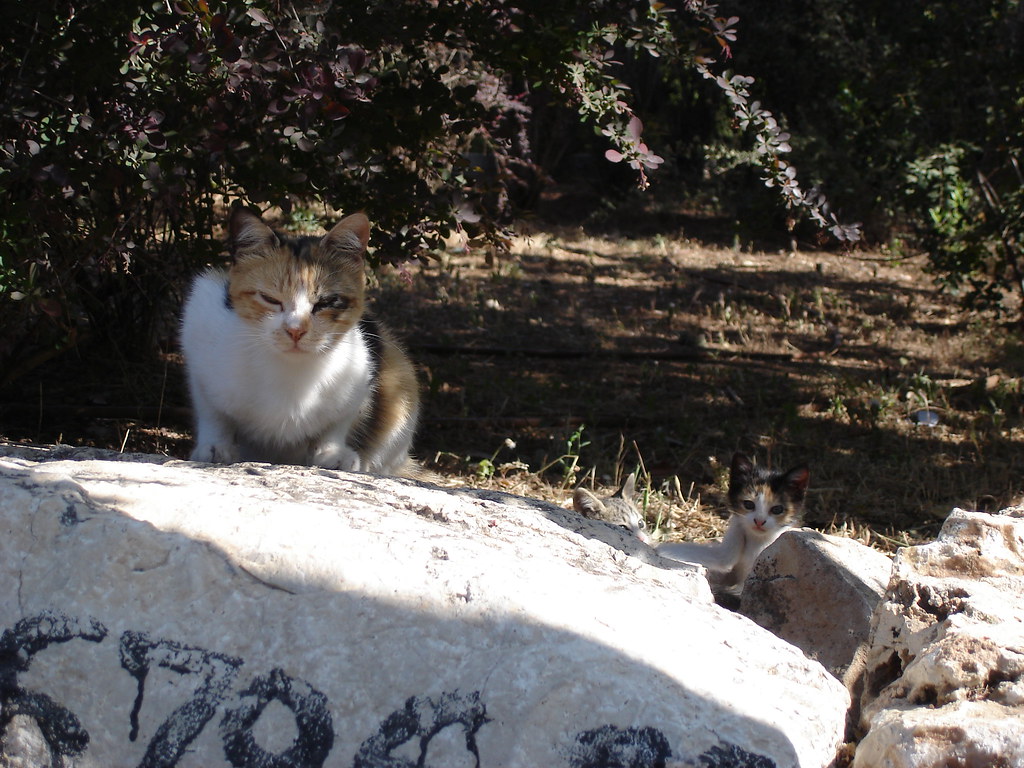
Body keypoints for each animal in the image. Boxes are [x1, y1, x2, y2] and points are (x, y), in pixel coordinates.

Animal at [178, 207, 417, 479]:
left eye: (326, 302)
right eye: (270, 299)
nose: (295, 330)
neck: (289, 372)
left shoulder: (363, 369)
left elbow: (338, 422)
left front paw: (332, 453)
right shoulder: (200, 326)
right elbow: (213, 414)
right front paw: (215, 447)